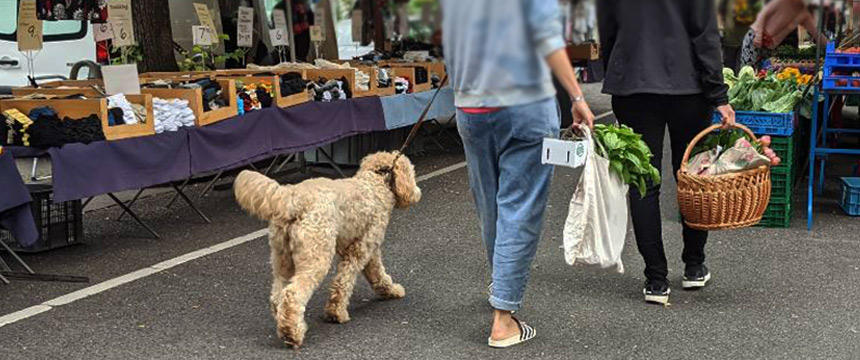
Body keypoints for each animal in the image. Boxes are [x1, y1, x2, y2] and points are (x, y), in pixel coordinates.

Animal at [233, 150, 422, 348]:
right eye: (411, 171)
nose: (417, 192)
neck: (374, 183)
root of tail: (293, 198)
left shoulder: (367, 249)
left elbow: (376, 274)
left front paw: (389, 290)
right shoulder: (361, 249)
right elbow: (345, 282)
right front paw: (336, 313)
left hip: (282, 258)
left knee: (278, 295)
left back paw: (287, 325)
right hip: (316, 256)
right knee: (293, 294)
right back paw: (292, 334)